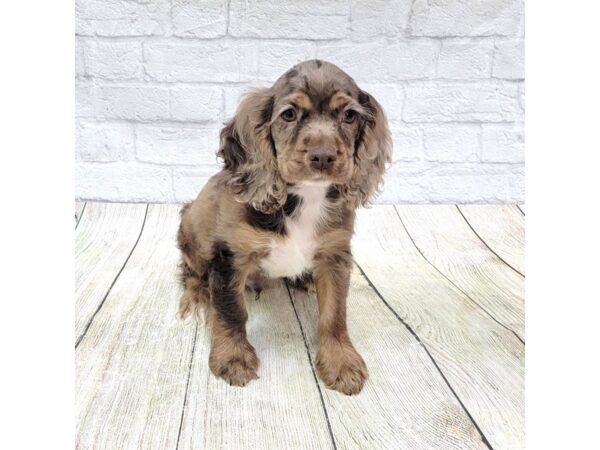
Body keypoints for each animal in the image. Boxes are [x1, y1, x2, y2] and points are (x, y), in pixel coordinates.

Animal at [177, 59, 394, 394]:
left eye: (349, 115)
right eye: (289, 114)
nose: (323, 156)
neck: (305, 196)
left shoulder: (335, 254)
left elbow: (334, 314)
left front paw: (341, 362)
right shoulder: (231, 257)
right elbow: (231, 309)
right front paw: (233, 358)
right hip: (191, 229)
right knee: (191, 271)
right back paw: (198, 295)